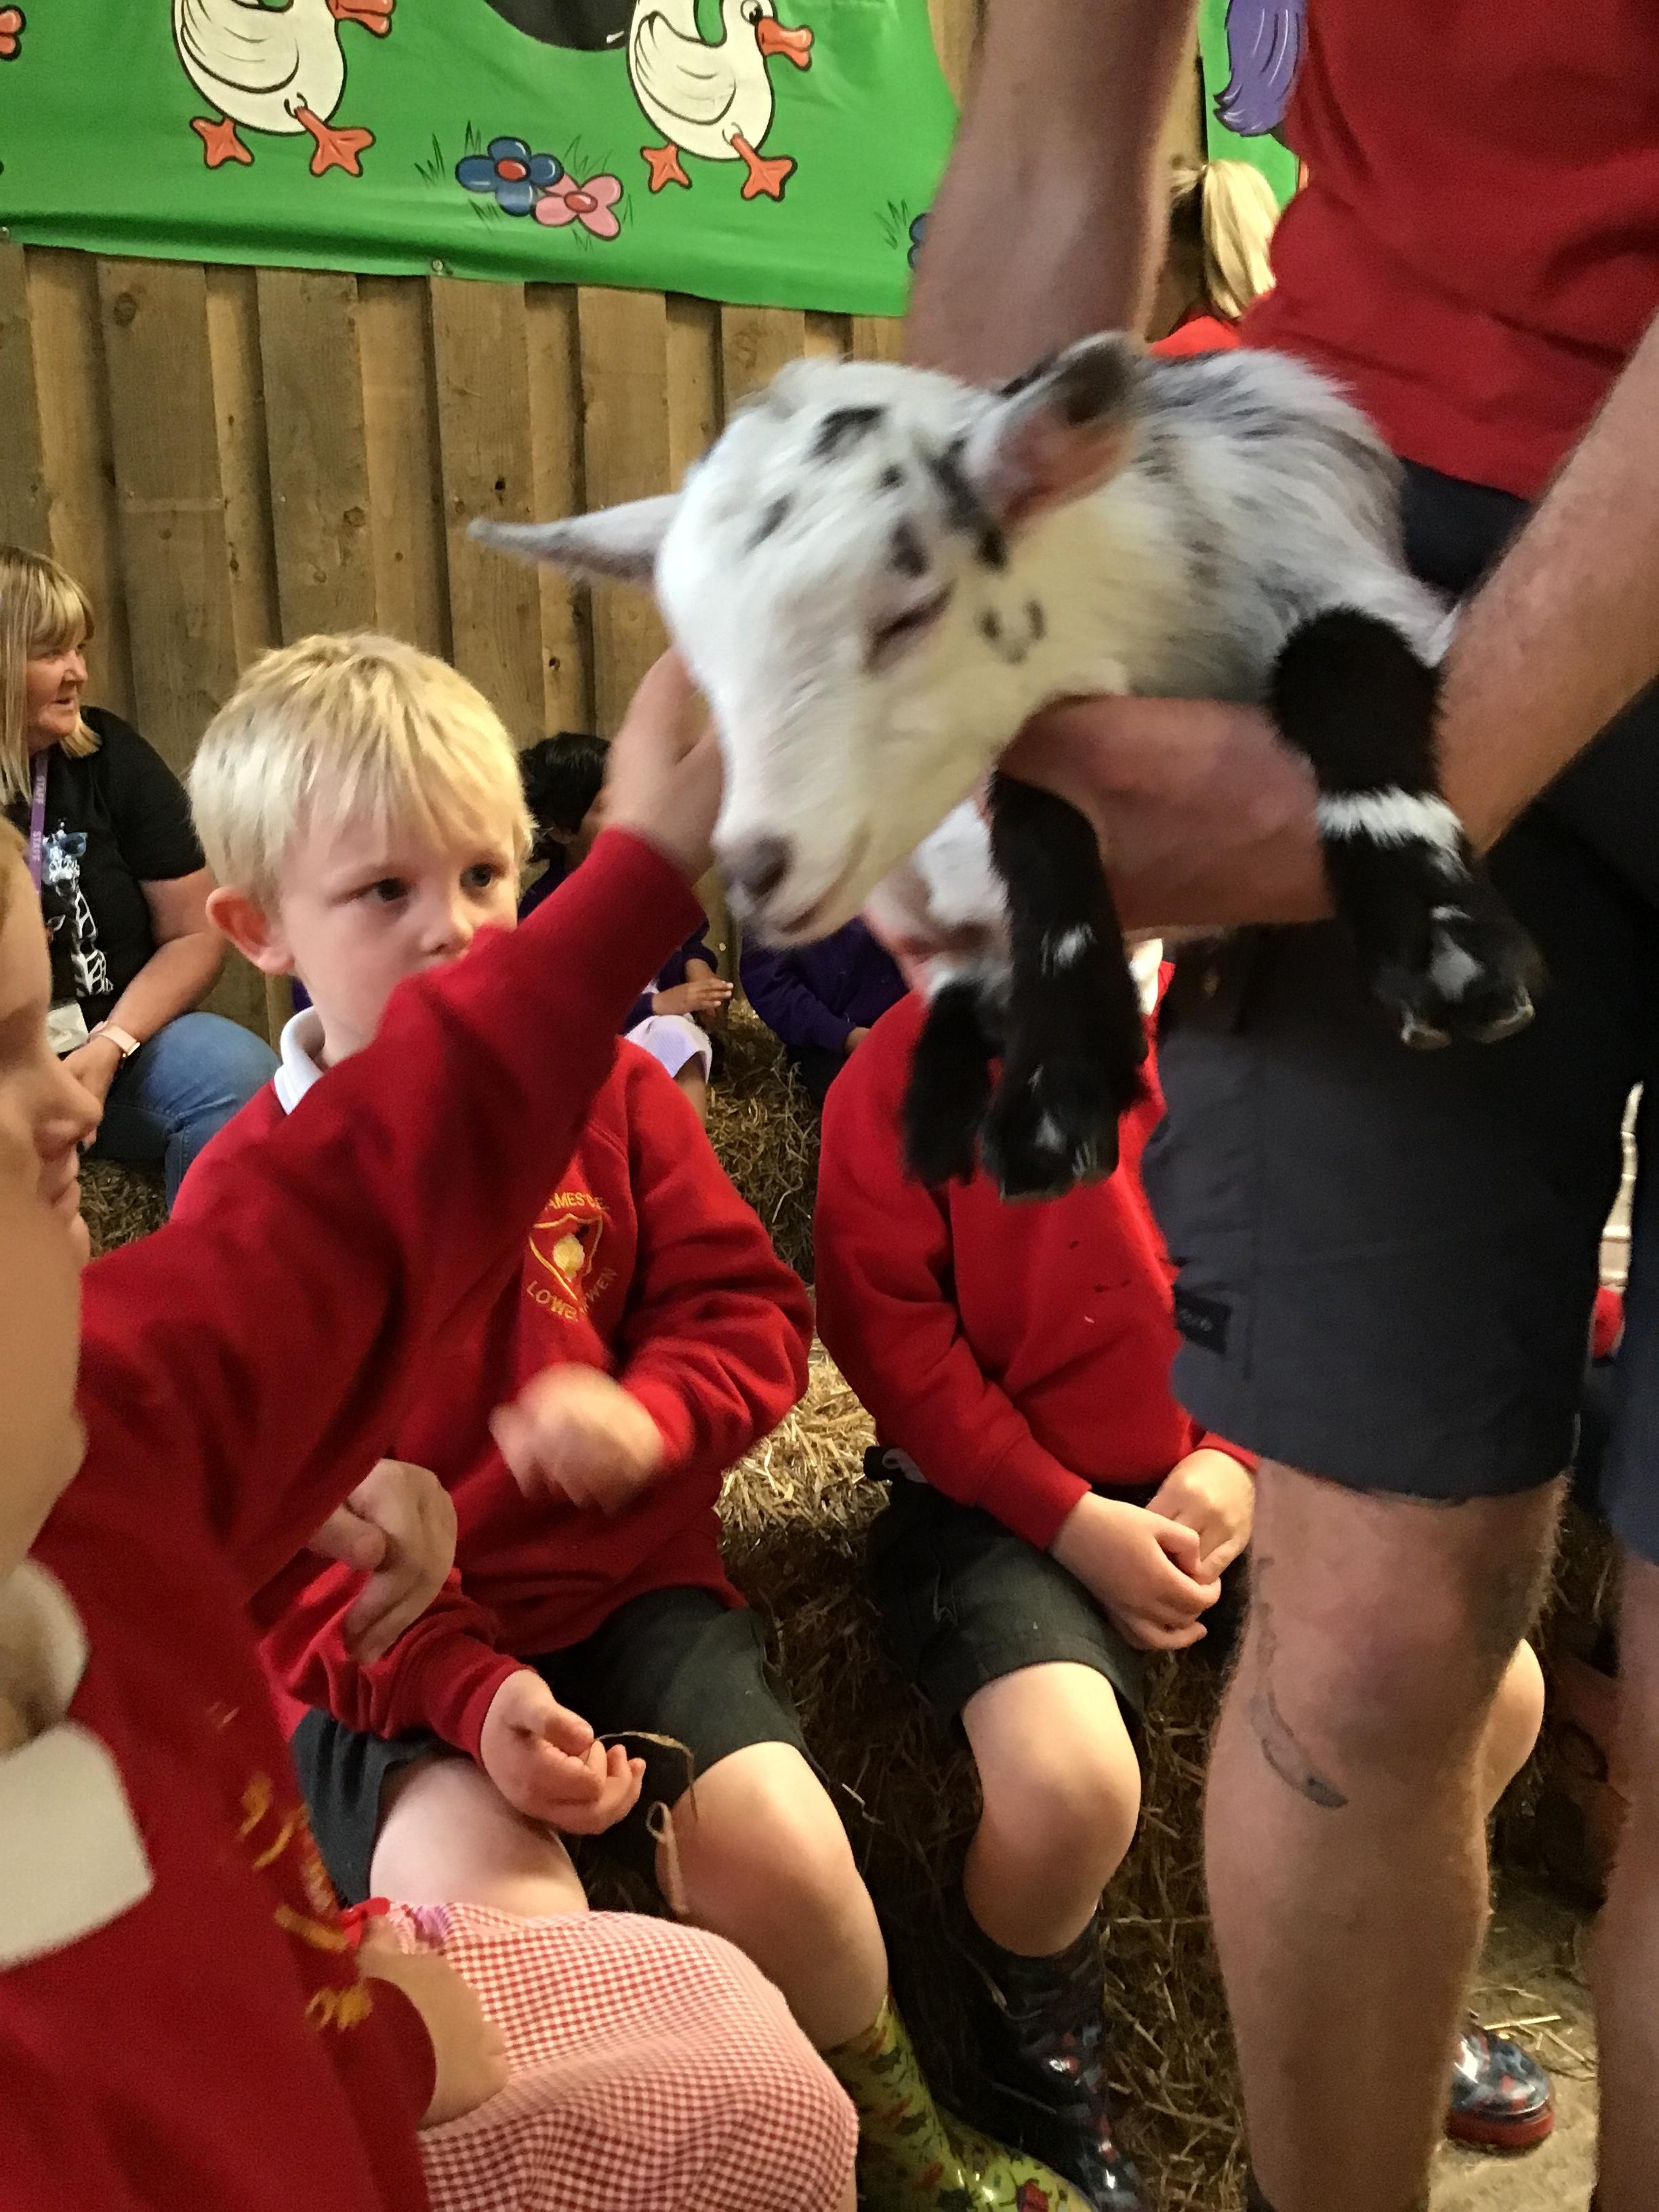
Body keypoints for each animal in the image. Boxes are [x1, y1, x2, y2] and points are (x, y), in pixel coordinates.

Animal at [473, 335, 1543, 1200]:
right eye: (702, 661)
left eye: (910, 614)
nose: (757, 868)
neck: (1149, 639)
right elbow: (1031, 813)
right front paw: (1057, 1085)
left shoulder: (1350, 583)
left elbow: (1341, 661)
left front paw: (1441, 939)